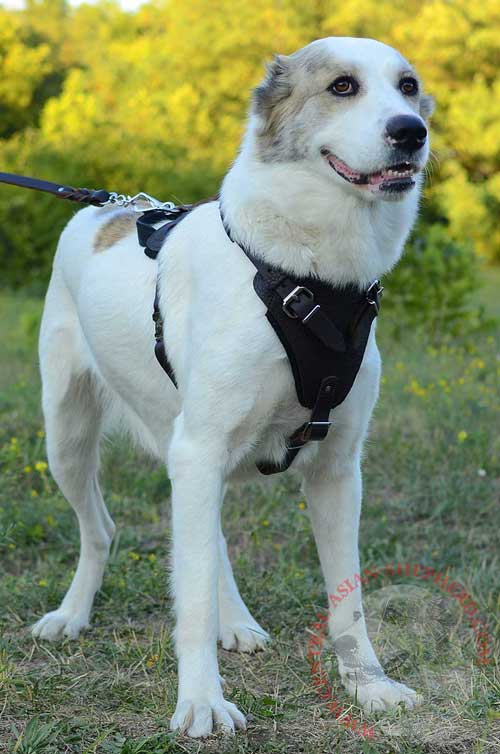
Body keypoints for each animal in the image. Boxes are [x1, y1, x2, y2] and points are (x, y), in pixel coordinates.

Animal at [31, 35, 434, 736]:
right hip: (70, 437)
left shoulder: (336, 471)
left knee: (207, 538)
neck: (305, 277)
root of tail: (105, 209)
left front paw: (369, 686)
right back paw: (73, 614)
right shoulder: (200, 450)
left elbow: (349, 600)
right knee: (101, 529)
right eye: (342, 87)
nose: (412, 131)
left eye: (408, 86)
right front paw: (201, 701)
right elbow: (190, 600)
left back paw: (238, 623)